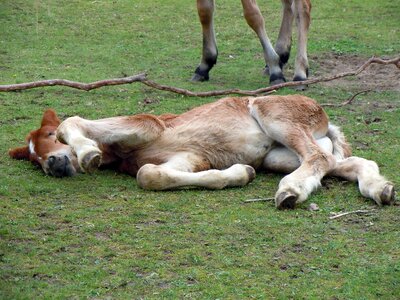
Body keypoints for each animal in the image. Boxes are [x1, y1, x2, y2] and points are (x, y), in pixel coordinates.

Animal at [8, 95, 394, 209]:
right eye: (33, 159)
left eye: (48, 135)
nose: (54, 163)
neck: (119, 154)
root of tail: (322, 114)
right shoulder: (189, 158)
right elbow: (151, 175)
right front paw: (239, 173)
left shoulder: (148, 125)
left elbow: (72, 121)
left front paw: (88, 152)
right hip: (278, 155)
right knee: (344, 161)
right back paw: (381, 189)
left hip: (274, 115)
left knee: (321, 158)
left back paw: (291, 190)